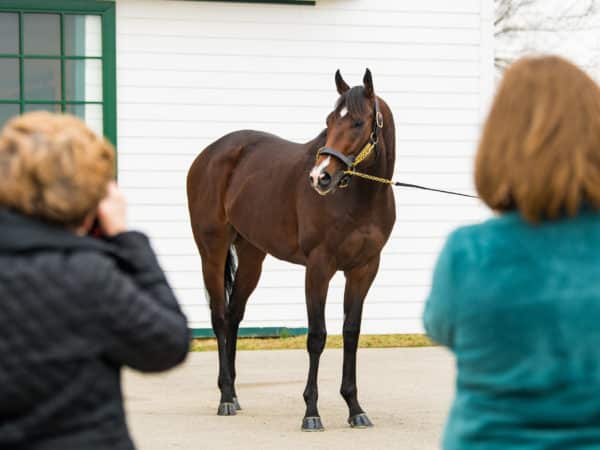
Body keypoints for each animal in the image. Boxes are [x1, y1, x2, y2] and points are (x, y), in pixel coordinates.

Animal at [185, 68, 396, 430]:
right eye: (329, 120)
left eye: (357, 122)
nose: (320, 177)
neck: (360, 198)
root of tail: (209, 154)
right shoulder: (319, 267)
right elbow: (317, 336)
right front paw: (311, 412)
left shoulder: (365, 268)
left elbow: (351, 333)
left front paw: (355, 407)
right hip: (211, 250)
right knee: (219, 317)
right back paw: (225, 397)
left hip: (252, 255)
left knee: (234, 314)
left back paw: (235, 395)